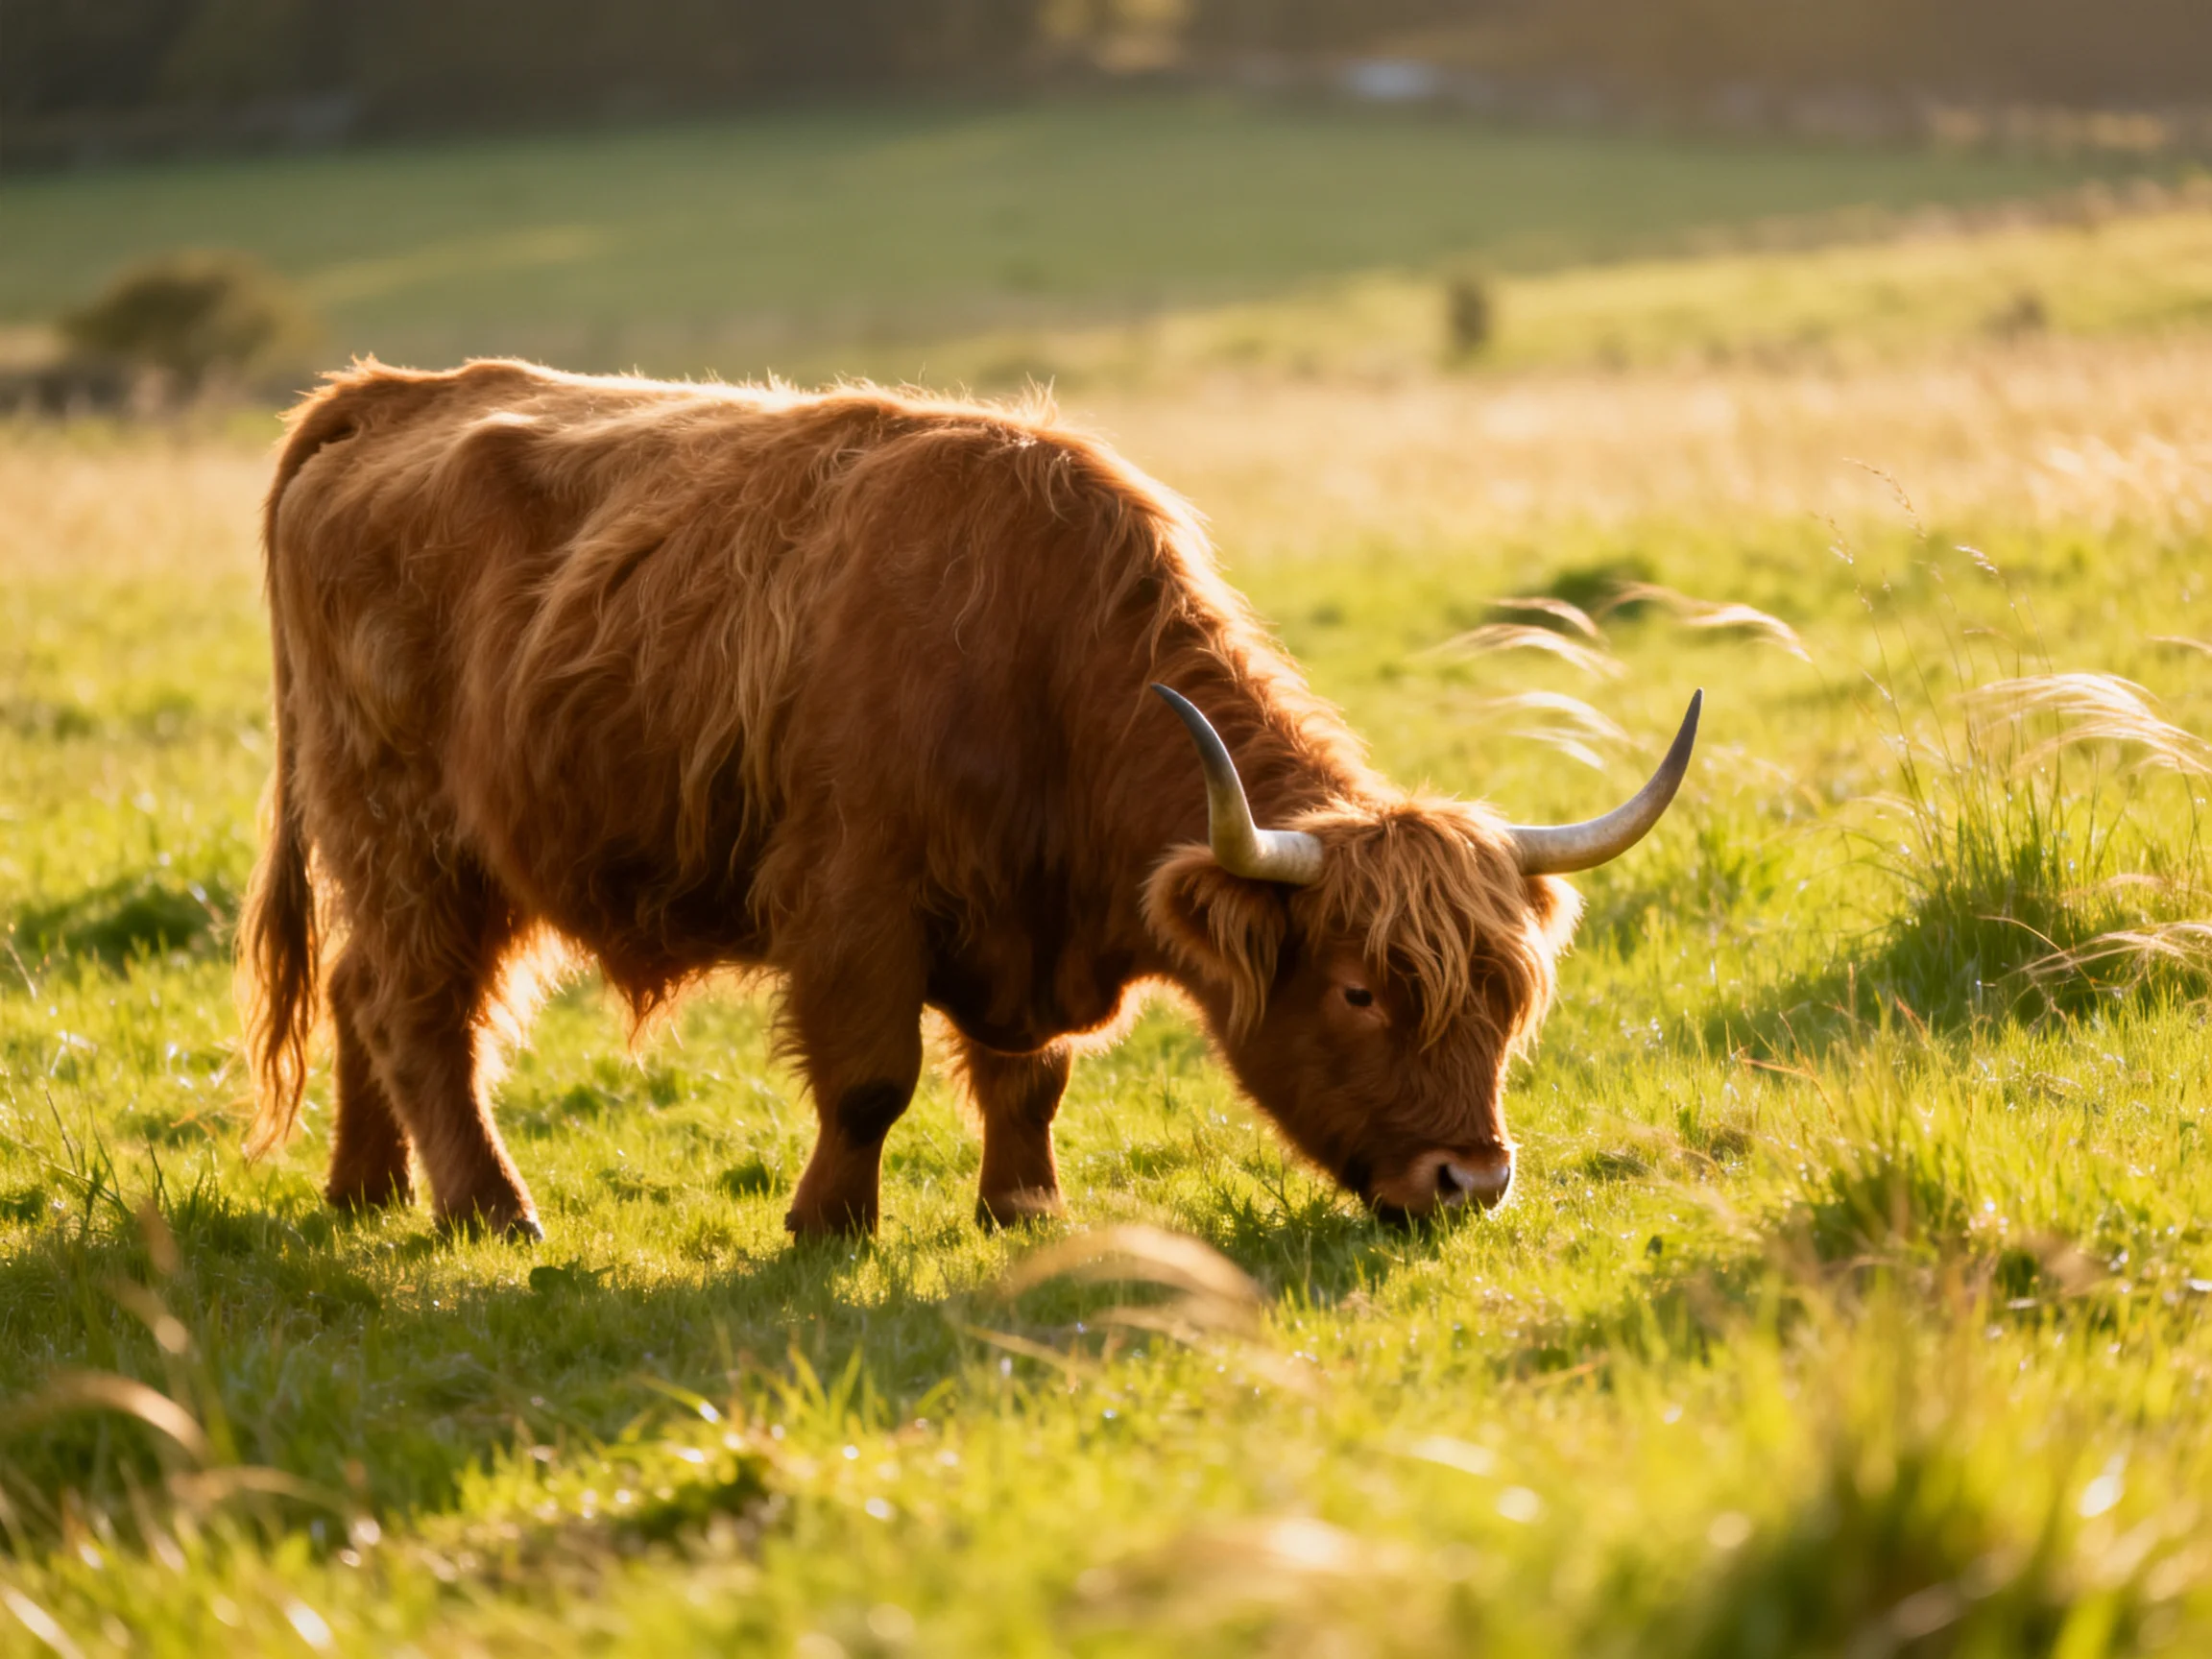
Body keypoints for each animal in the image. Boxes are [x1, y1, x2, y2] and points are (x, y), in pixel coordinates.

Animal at [238, 359, 1698, 1242]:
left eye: (1509, 997)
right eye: (1356, 991)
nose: (1472, 1179)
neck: (1042, 673)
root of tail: (388, 392)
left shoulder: (1022, 928)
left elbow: (1029, 1081)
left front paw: (1025, 1209)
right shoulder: (853, 899)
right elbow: (870, 1081)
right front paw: (828, 1223)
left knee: (366, 994)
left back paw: (366, 1191)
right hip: (410, 829)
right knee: (419, 1012)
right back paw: (489, 1207)